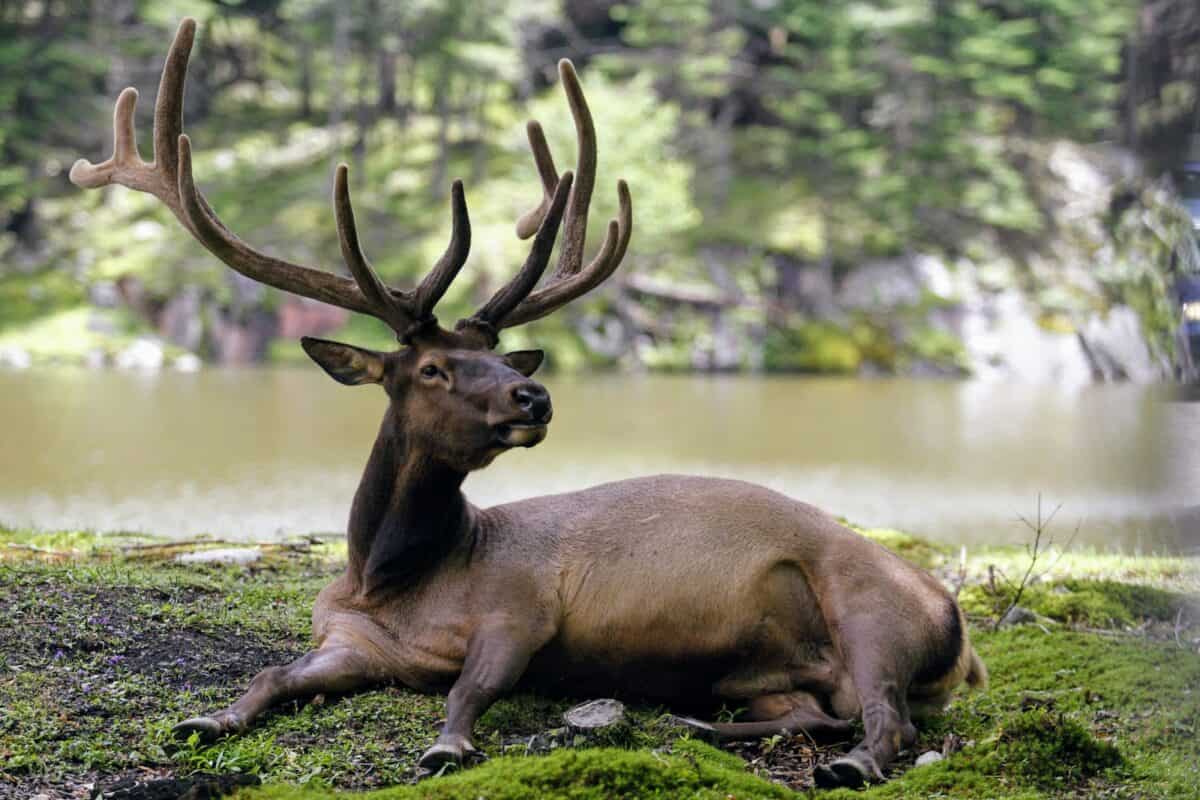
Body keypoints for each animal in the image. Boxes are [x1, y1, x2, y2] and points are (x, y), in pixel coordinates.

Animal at [71, 19, 986, 789]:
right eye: (433, 368)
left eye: (492, 357)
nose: (533, 392)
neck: (394, 581)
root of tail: (957, 624)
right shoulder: (347, 641)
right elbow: (268, 675)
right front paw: (207, 718)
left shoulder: (521, 608)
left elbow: (470, 690)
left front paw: (447, 745)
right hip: (770, 673)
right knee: (809, 711)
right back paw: (700, 722)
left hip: (871, 611)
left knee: (888, 718)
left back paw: (849, 762)